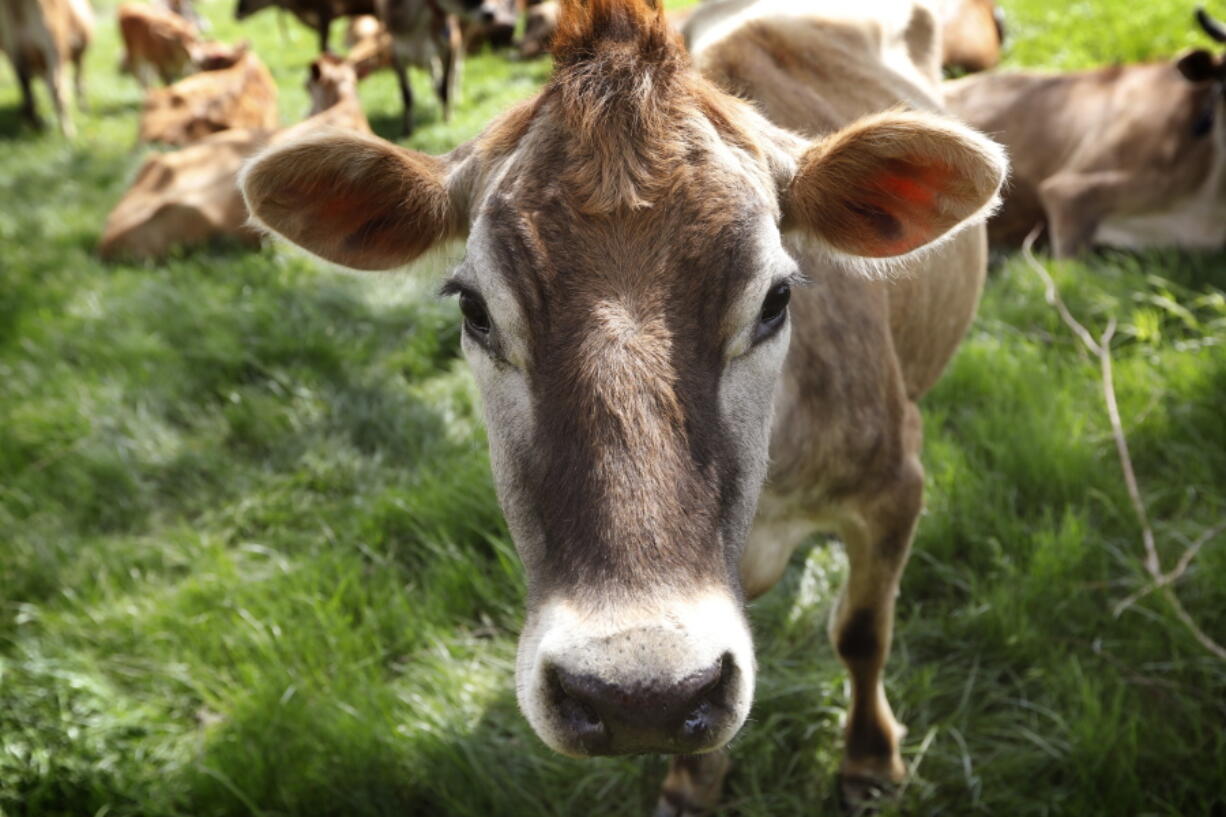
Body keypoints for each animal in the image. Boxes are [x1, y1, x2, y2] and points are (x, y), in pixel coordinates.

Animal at [0, 0, 93, 136]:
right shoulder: (77, 56)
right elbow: (79, 82)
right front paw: (83, 107)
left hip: (17, 51)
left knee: (27, 91)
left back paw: (35, 124)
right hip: (54, 46)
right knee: (58, 89)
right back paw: (68, 132)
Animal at [239, 0, 1005, 809]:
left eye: (776, 298)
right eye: (474, 309)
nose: (641, 697)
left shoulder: (896, 484)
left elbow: (861, 630)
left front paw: (868, 761)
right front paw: (693, 783)